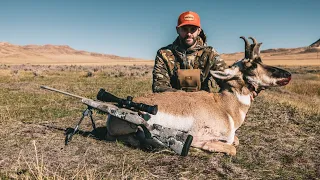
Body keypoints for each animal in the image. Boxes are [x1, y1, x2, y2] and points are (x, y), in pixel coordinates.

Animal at [106, 36, 292, 155]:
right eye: (252, 66)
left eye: (260, 61)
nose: (288, 74)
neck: (224, 106)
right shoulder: (199, 136)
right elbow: (232, 148)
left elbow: (236, 140)